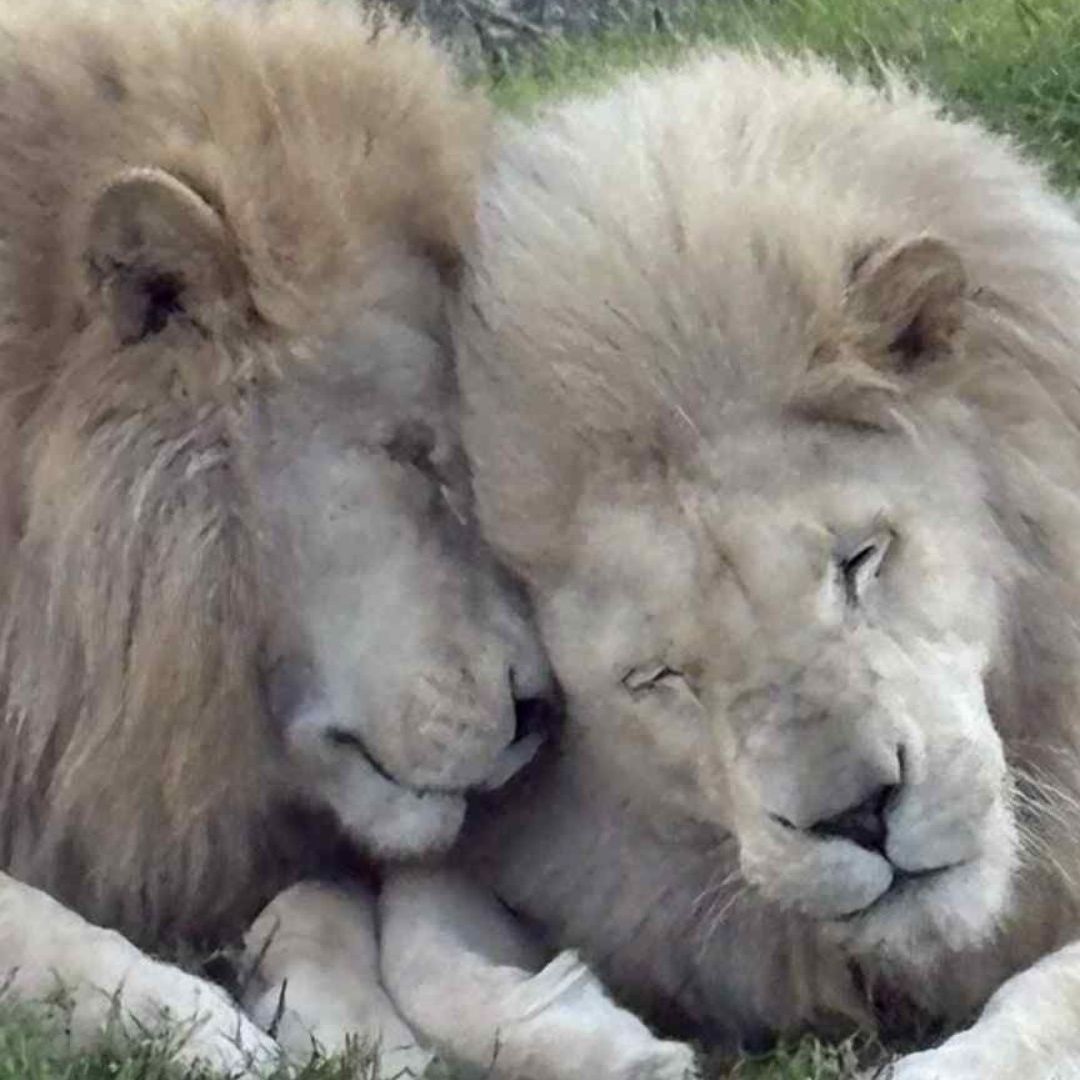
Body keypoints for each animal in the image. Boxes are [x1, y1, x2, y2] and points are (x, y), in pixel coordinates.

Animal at [0, 0, 554, 1072]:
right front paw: (196, 1027)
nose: (542, 710)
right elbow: (33, 923)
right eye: (414, 454)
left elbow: (325, 908)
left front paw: (367, 1037)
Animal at [380, 50, 1080, 1079]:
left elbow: (1054, 997)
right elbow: (419, 948)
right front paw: (607, 1043)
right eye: (659, 677)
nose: (859, 817)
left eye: (859, 559)